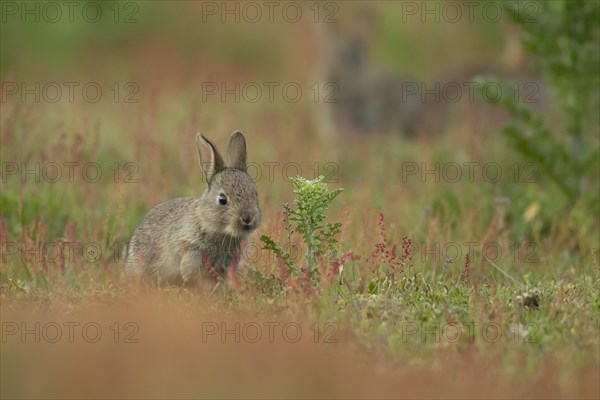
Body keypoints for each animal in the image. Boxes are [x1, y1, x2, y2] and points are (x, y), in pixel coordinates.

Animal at [124, 131, 260, 284]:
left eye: (255, 194)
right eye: (222, 199)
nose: (248, 218)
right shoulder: (184, 242)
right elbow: (190, 256)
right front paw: (187, 273)